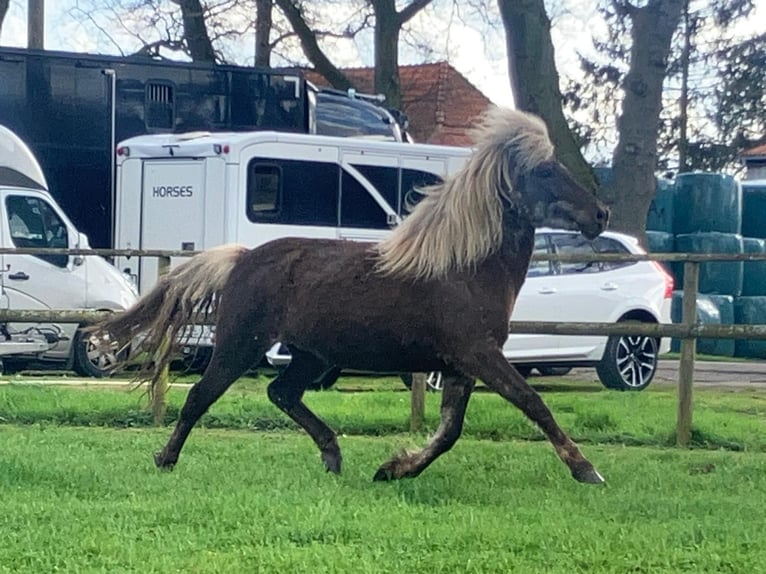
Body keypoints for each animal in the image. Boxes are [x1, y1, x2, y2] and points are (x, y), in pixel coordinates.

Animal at [97, 108, 612, 486]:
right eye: (545, 170)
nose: (600, 214)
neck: (464, 268)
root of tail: (242, 258)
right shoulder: (478, 354)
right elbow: (532, 404)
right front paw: (587, 470)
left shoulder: (461, 365)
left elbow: (450, 431)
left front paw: (394, 468)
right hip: (241, 344)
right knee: (201, 396)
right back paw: (166, 459)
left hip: (310, 354)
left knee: (281, 392)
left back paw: (332, 455)